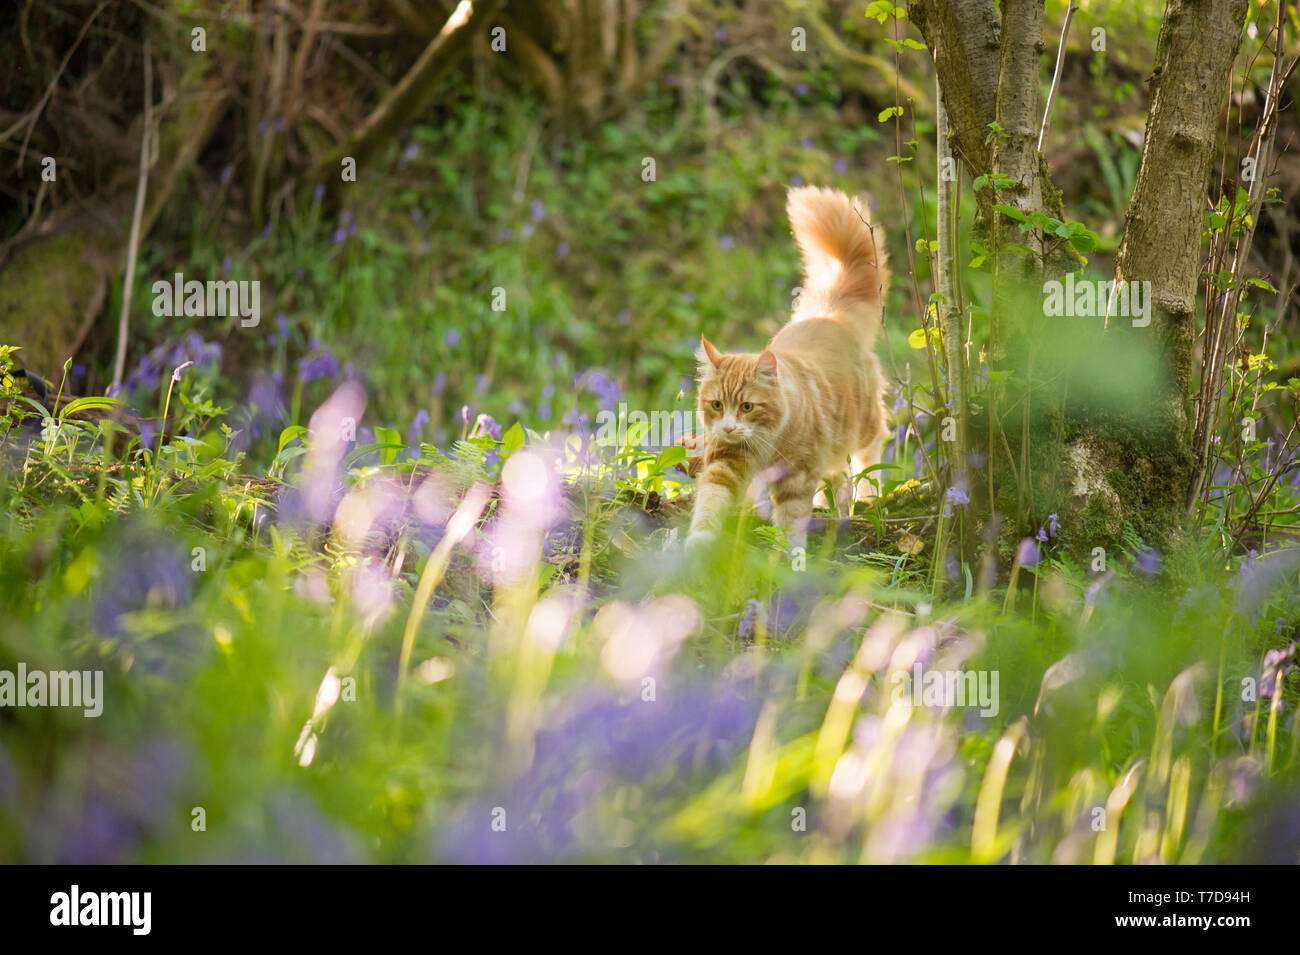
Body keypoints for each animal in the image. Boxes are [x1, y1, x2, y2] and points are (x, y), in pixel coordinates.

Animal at [686, 184, 889, 553]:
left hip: (864, 424)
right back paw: (829, 507)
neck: (765, 440)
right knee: (836, 476)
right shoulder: (725, 463)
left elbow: (790, 522)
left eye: (747, 406)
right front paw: (699, 545)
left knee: (871, 453)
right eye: (717, 404)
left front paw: (786, 557)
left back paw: (868, 499)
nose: (730, 427)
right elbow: (710, 504)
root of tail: (830, 314)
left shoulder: (797, 476)